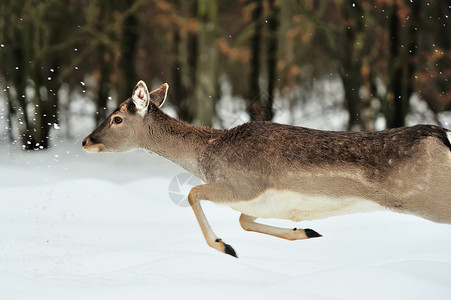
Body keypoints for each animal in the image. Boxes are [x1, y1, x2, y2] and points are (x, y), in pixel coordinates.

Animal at [83, 80, 451, 258]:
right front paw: (305, 231)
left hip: (433, 199)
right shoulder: (258, 200)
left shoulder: (241, 184)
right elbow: (245, 221)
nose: (86, 141)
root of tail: (442, 135)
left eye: (117, 118)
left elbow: (191, 193)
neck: (207, 156)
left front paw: (225, 246)